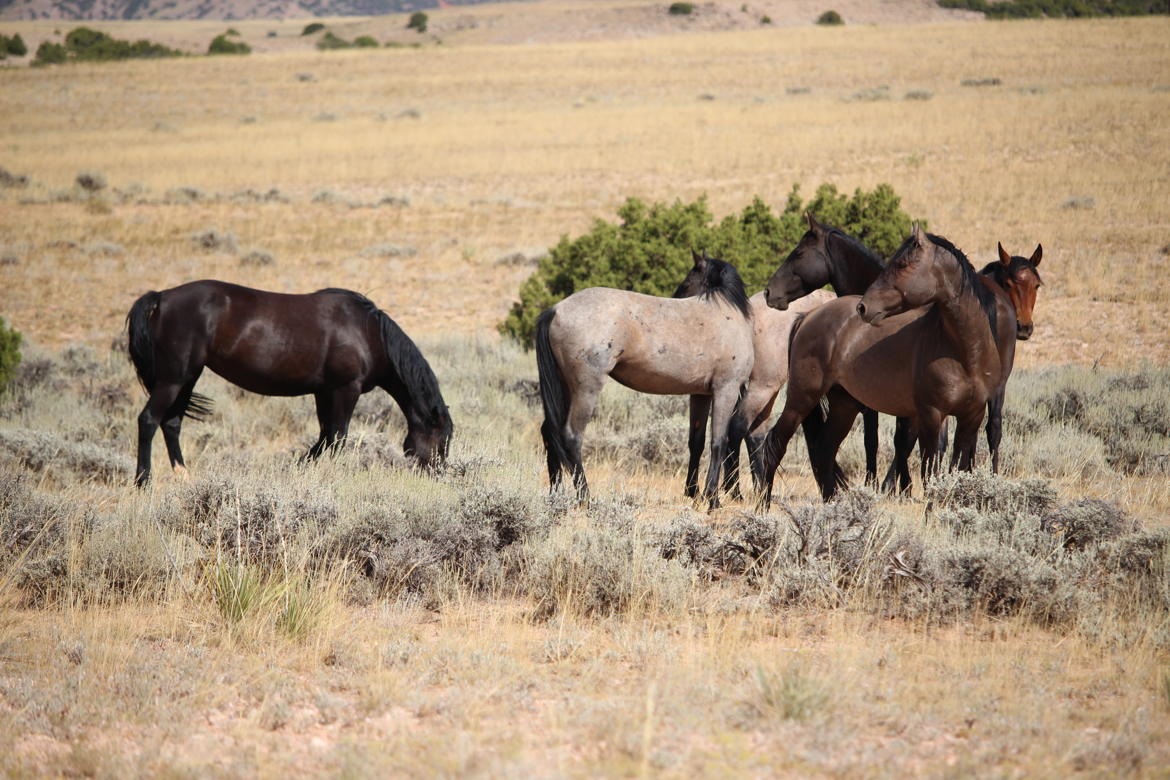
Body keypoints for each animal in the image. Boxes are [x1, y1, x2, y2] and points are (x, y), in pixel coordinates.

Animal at [128, 280, 451, 488]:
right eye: (441, 442)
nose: (440, 476)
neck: (366, 333)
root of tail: (161, 298)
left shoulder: (324, 391)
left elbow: (324, 437)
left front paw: (297, 469)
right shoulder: (346, 390)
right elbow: (337, 438)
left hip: (187, 378)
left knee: (171, 423)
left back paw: (184, 477)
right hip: (173, 379)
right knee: (149, 420)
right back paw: (143, 482)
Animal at [535, 250, 753, 507]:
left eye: (686, 284)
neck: (725, 314)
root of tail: (556, 310)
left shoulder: (701, 394)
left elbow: (697, 442)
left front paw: (693, 492)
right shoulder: (726, 390)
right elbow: (719, 442)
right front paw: (712, 499)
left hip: (565, 388)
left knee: (550, 433)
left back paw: (555, 496)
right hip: (585, 389)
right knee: (571, 436)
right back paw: (586, 498)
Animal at [762, 225, 1001, 507]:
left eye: (901, 264)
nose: (864, 307)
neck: (965, 352)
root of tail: (807, 317)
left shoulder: (971, 416)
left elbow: (959, 470)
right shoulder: (931, 415)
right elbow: (929, 474)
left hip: (844, 406)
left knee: (823, 451)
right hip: (801, 399)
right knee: (775, 444)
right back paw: (763, 505)